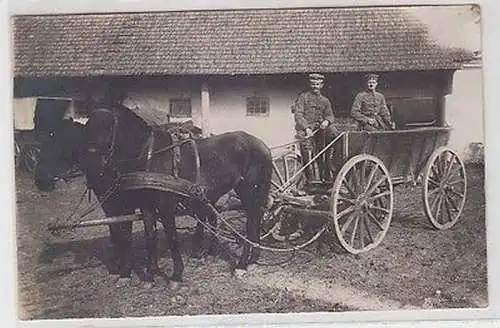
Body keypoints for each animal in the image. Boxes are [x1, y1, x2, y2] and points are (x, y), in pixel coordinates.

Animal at [84, 104, 276, 286]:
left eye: (109, 127)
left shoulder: (166, 206)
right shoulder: (147, 207)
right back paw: (252, 259)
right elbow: (150, 237)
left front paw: (176, 276)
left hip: (249, 190)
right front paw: (149, 277)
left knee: (251, 222)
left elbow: (172, 237)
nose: (92, 167)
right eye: (87, 127)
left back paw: (242, 265)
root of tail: (262, 145)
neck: (150, 156)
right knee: (255, 219)